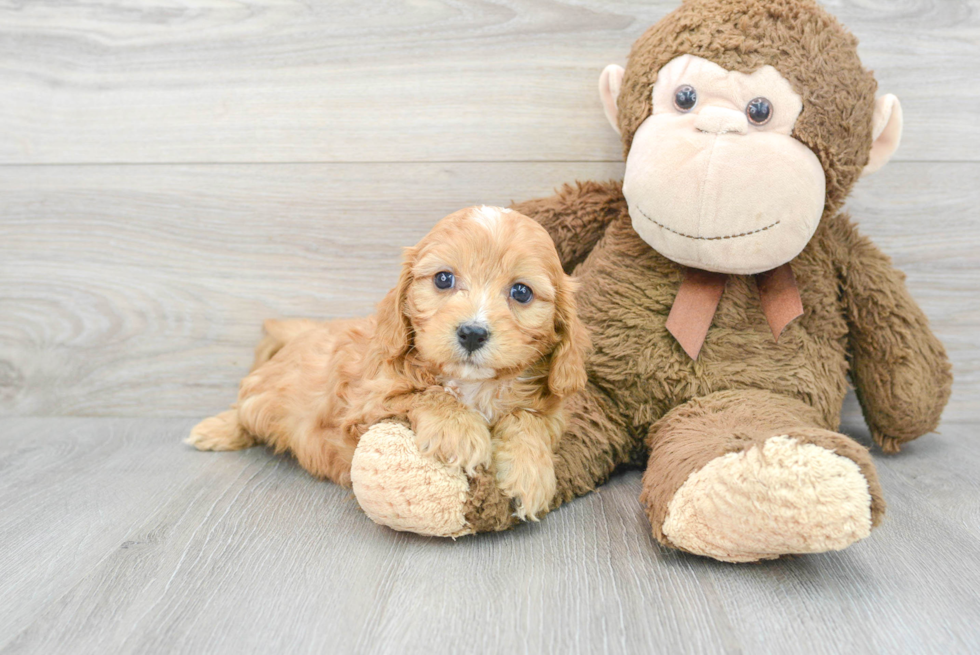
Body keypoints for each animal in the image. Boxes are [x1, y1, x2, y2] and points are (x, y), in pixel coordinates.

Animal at [189, 208, 588, 520]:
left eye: (521, 292)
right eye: (444, 278)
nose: (472, 333)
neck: (473, 385)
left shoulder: (551, 412)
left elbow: (527, 419)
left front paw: (530, 472)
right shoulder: (364, 405)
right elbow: (425, 394)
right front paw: (458, 431)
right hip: (266, 396)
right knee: (244, 409)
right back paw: (215, 430)